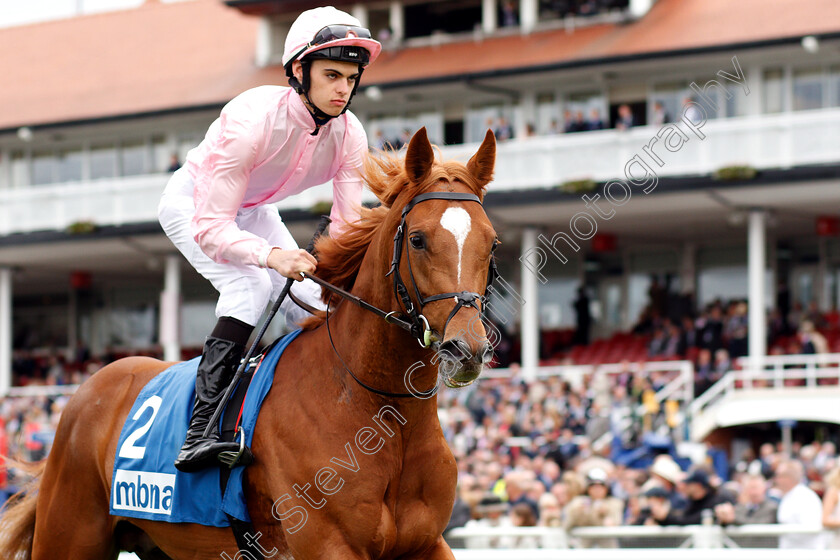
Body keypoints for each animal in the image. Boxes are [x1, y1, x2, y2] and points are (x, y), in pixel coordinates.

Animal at [0, 127, 496, 560]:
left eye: (492, 243)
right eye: (418, 239)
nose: (466, 348)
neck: (377, 408)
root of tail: (86, 389)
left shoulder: (426, 543)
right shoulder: (329, 543)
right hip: (70, 534)